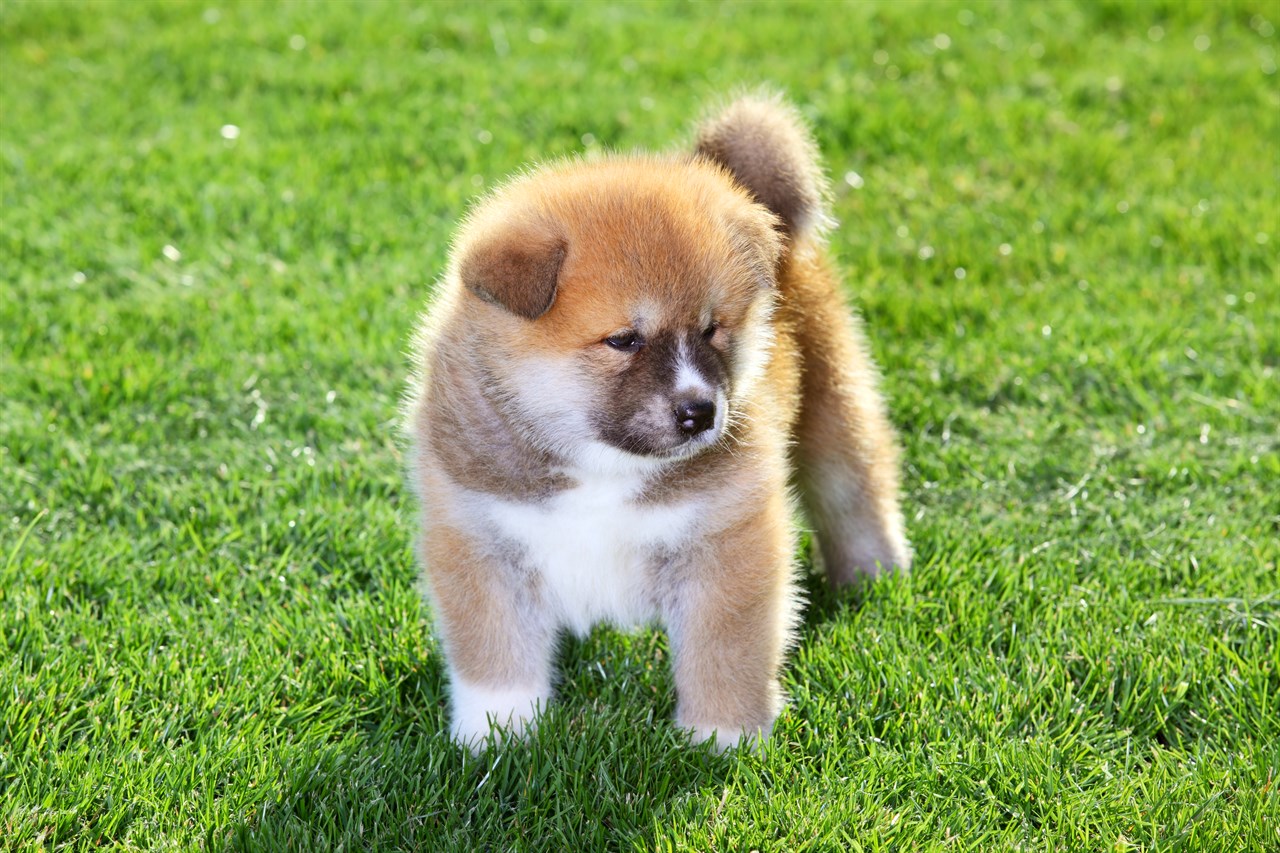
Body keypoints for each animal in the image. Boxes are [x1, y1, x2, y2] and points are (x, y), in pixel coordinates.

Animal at [404, 89, 906, 747]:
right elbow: (493, 655)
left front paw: (722, 740)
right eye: (624, 340)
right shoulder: (479, 539)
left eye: (711, 329)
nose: (701, 411)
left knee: (856, 492)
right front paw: (496, 738)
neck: (600, 467)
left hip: (833, 407)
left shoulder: (726, 541)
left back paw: (875, 577)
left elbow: (725, 653)